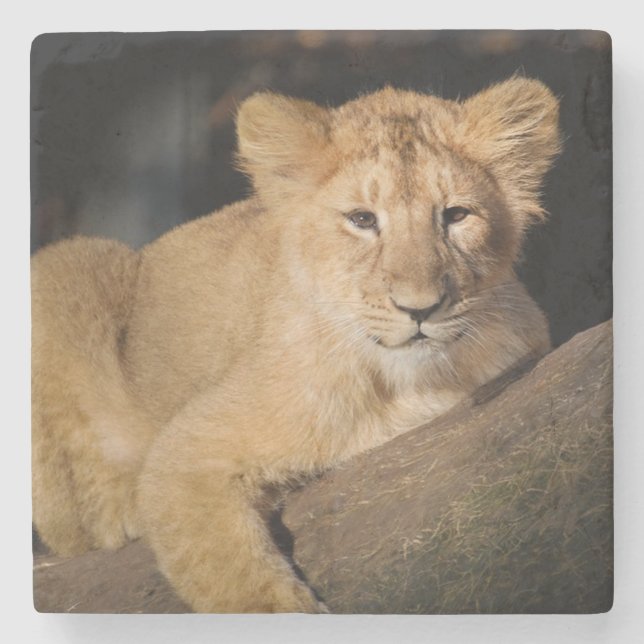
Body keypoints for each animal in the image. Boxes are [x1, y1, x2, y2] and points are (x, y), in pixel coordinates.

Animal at [31, 76, 561, 613]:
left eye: (455, 215)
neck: (406, 383)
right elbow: (233, 578)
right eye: (362, 219)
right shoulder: (187, 451)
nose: (420, 308)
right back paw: (117, 512)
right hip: (65, 267)